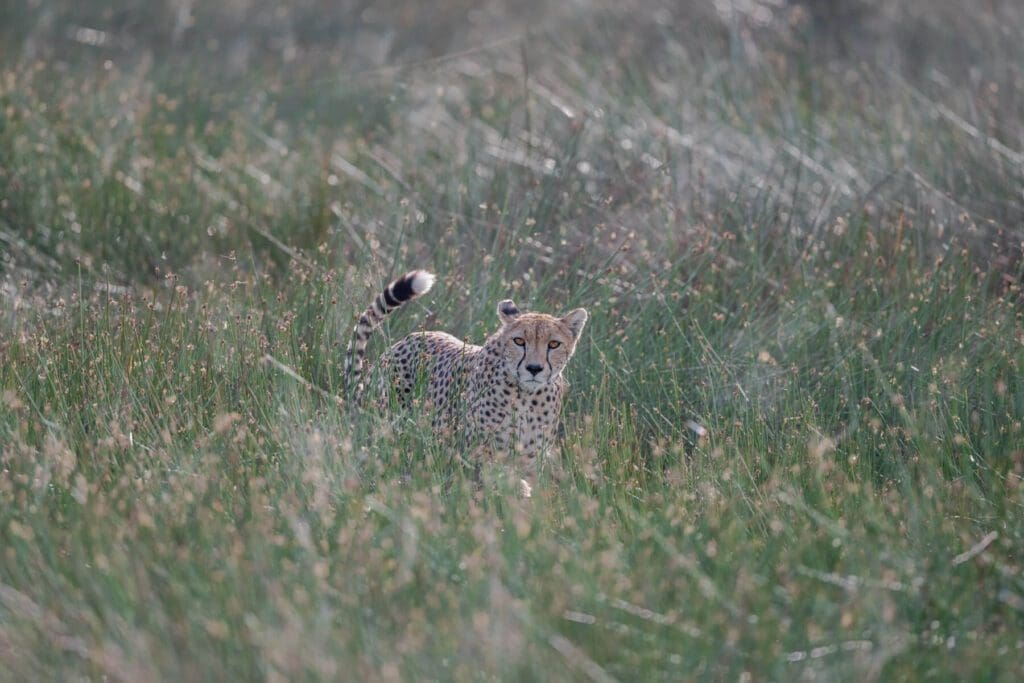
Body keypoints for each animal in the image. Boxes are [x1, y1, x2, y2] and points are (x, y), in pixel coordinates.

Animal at [344, 266, 585, 481]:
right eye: (519, 341)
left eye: (553, 344)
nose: (534, 369)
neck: (527, 396)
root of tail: (400, 343)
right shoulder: (481, 453)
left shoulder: (530, 461)